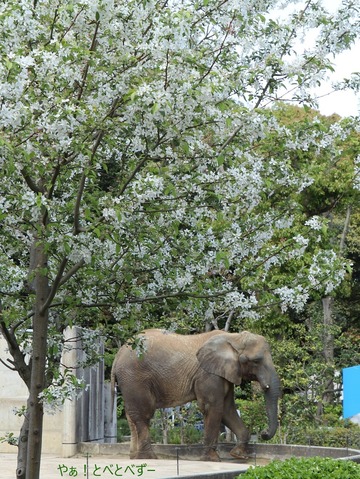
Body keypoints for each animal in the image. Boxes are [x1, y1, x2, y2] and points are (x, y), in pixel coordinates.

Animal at [111, 330, 280, 462]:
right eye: (256, 361)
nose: (263, 433)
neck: (234, 337)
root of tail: (118, 354)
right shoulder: (208, 375)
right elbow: (213, 407)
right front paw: (212, 459)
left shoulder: (224, 372)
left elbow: (227, 409)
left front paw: (238, 455)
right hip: (135, 378)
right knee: (143, 414)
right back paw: (149, 458)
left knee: (131, 415)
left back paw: (134, 457)